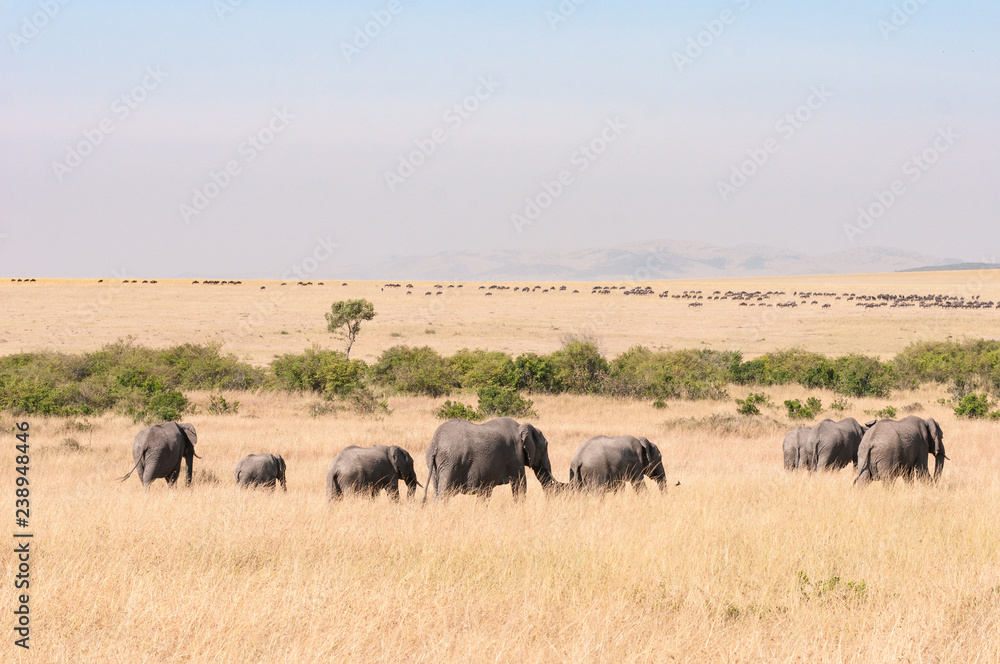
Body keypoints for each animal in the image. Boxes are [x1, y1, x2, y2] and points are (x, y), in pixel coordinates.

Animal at [424, 418, 560, 500]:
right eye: (546, 447)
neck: (520, 426)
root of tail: (435, 443)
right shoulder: (515, 455)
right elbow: (520, 484)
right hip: (451, 461)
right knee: (443, 494)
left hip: (437, 465)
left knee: (436, 492)